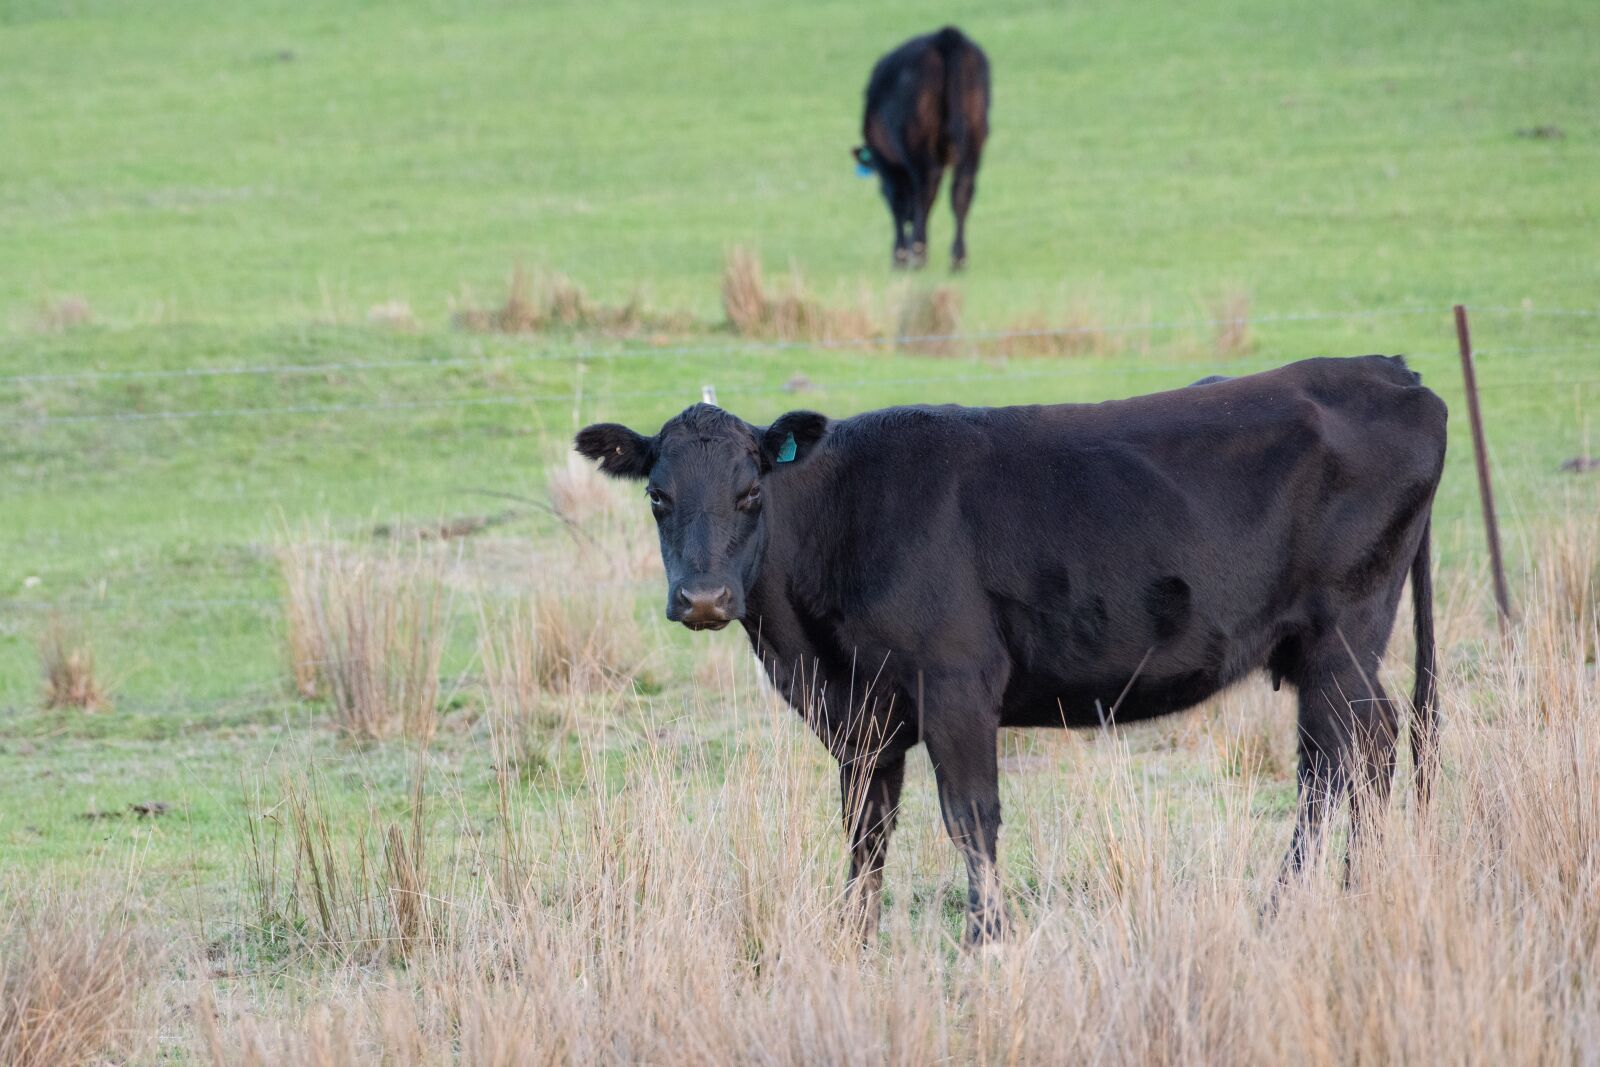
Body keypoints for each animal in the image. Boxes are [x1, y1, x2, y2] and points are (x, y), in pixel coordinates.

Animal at [575, 355, 1446, 945]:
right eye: (658, 497)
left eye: (751, 492)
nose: (704, 599)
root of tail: (1387, 371)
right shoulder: (859, 713)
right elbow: (866, 825)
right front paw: (852, 935)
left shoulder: (957, 681)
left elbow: (971, 815)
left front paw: (986, 938)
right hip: (1340, 650)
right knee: (1374, 746)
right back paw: (1361, 888)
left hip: (1339, 638)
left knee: (1333, 765)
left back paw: (1287, 904)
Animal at [853, 26, 990, 271]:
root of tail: (945, 35)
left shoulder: (888, 165)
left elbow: (898, 201)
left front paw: (899, 255)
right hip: (975, 135)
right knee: (962, 190)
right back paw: (958, 259)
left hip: (917, 143)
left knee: (926, 189)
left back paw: (918, 252)